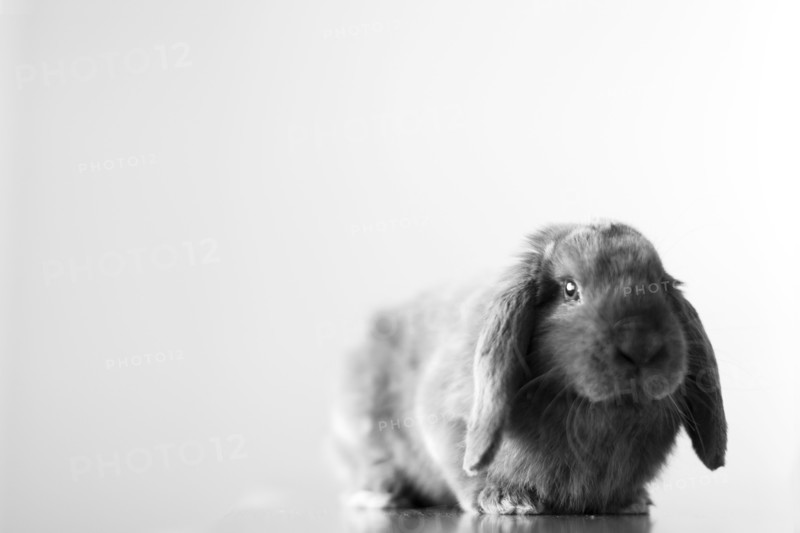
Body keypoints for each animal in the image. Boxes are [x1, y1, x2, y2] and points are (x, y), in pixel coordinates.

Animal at [332, 221, 726, 515]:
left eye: (658, 286)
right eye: (570, 289)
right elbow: (463, 471)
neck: (595, 410)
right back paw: (383, 495)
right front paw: (506, 500)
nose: (641, 346)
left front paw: (631, 502)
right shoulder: (443, 419)